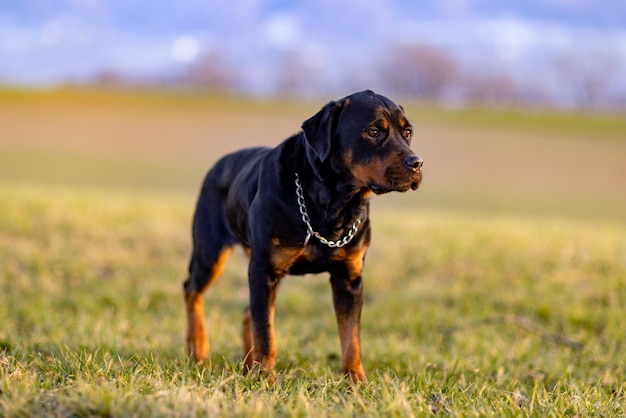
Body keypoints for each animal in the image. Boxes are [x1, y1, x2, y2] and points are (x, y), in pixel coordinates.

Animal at [183, 90, 422, 382]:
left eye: (407, 132)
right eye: (373, 131)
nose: (417, 163)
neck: (332, 206)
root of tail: (217, 165)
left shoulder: (349, 278)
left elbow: (351, 337)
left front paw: (356, 380)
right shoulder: (264, 270)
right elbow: (266, 334)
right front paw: (265, 379)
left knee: (248, 312)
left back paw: (247, 365)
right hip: (210, 253)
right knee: (192, 291)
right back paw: (199, 348)